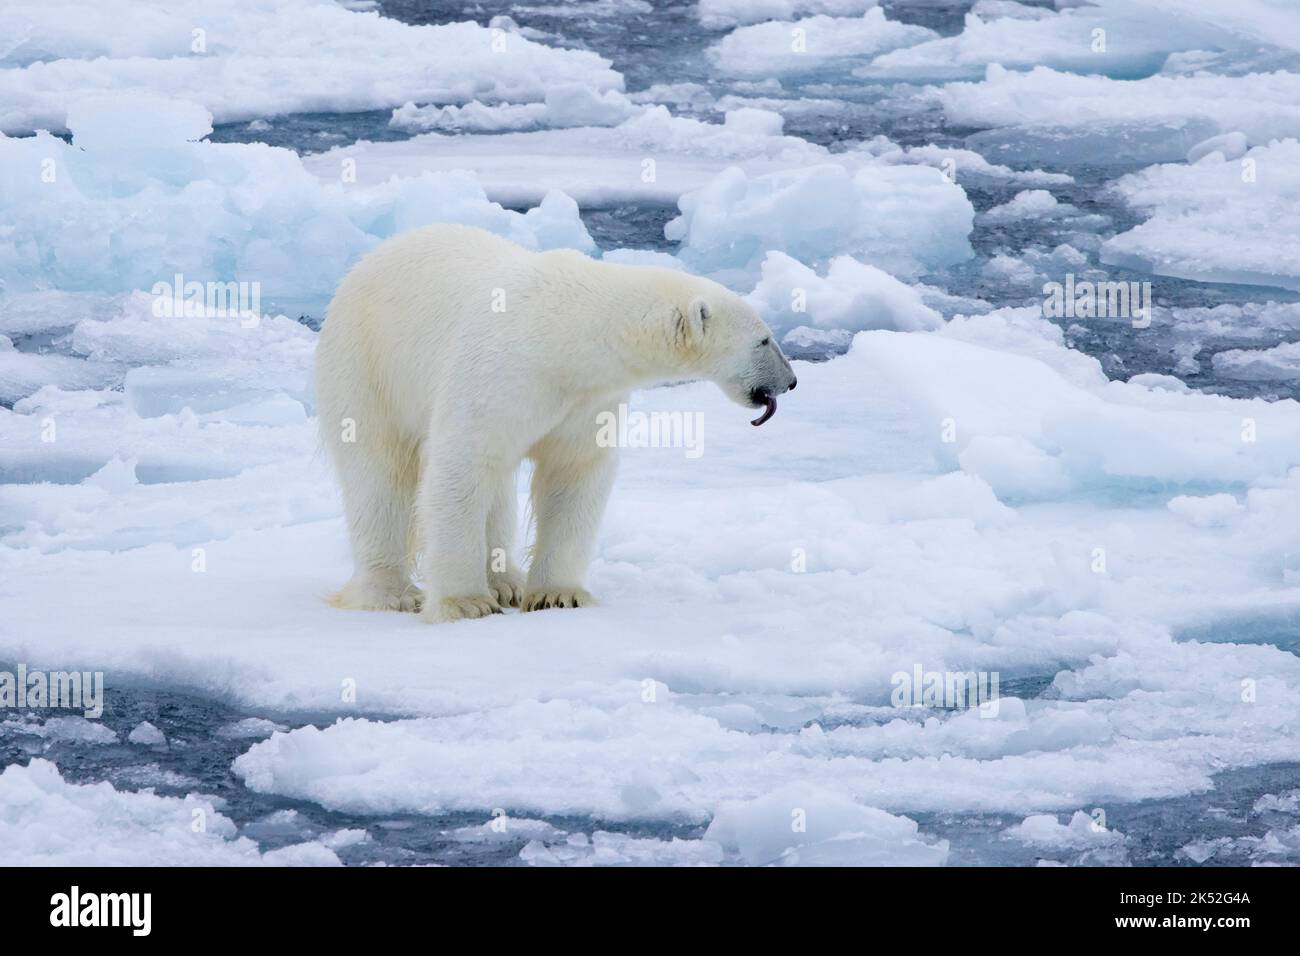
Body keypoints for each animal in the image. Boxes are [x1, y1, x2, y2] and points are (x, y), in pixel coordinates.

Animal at [314, 223, 797, 623]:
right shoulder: (497, 373)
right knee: (379, 472)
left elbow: (573, 473)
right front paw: (464, 603)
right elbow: (463, 465)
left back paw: (505, 580)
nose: (790, 381)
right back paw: (390, 593)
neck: (568, 333)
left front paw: (557, 595)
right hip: (367, 364)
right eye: (764, 339)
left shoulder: (587, 399)